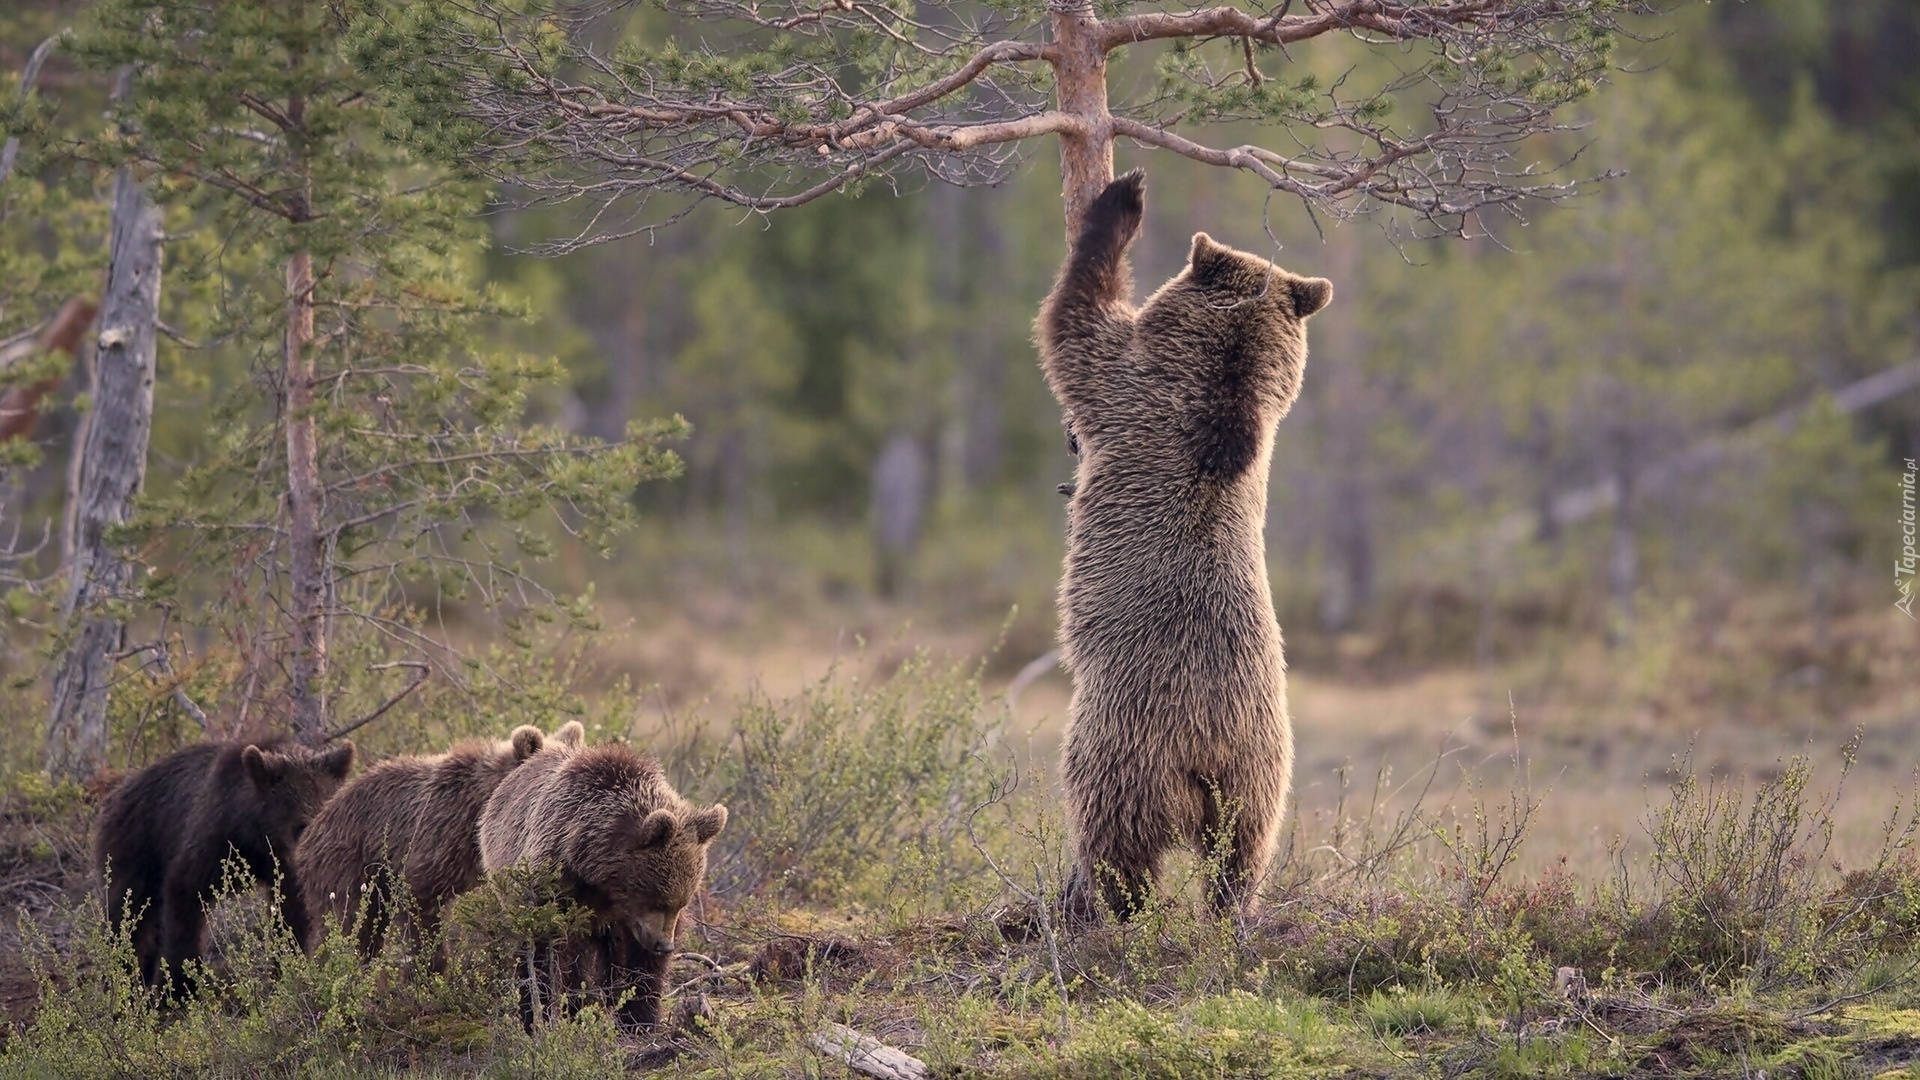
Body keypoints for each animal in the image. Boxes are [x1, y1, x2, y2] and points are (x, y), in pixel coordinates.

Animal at [94, 734, 357, 991]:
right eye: (301, 824)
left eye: (327, 815)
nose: (316, 858)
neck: (255, 835)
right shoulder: (212, 838)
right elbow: (185, 896)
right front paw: (181, 984)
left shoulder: (283, 868)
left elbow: (291, 914)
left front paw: (287, 969)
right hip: (135, 847)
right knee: (128, 915)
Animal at [476, 737, 721, 1022]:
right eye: (657, 899)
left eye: (680, 903)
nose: (664, 945)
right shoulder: (557, 884)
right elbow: (549, 949)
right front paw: (548, 1009)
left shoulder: (627, 920)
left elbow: (640, 965)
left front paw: (640, 1016)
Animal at [1036, 168, 1336, 914]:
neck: (1223, 389)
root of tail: (1209, 747)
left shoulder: (1122, 385)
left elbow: (1073, 321)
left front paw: (1122, 201)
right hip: (1263, 766)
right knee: (1244, 850)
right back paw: (1234, 906)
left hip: (1125, 744)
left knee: (1115, 831)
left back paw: (1109, 902)